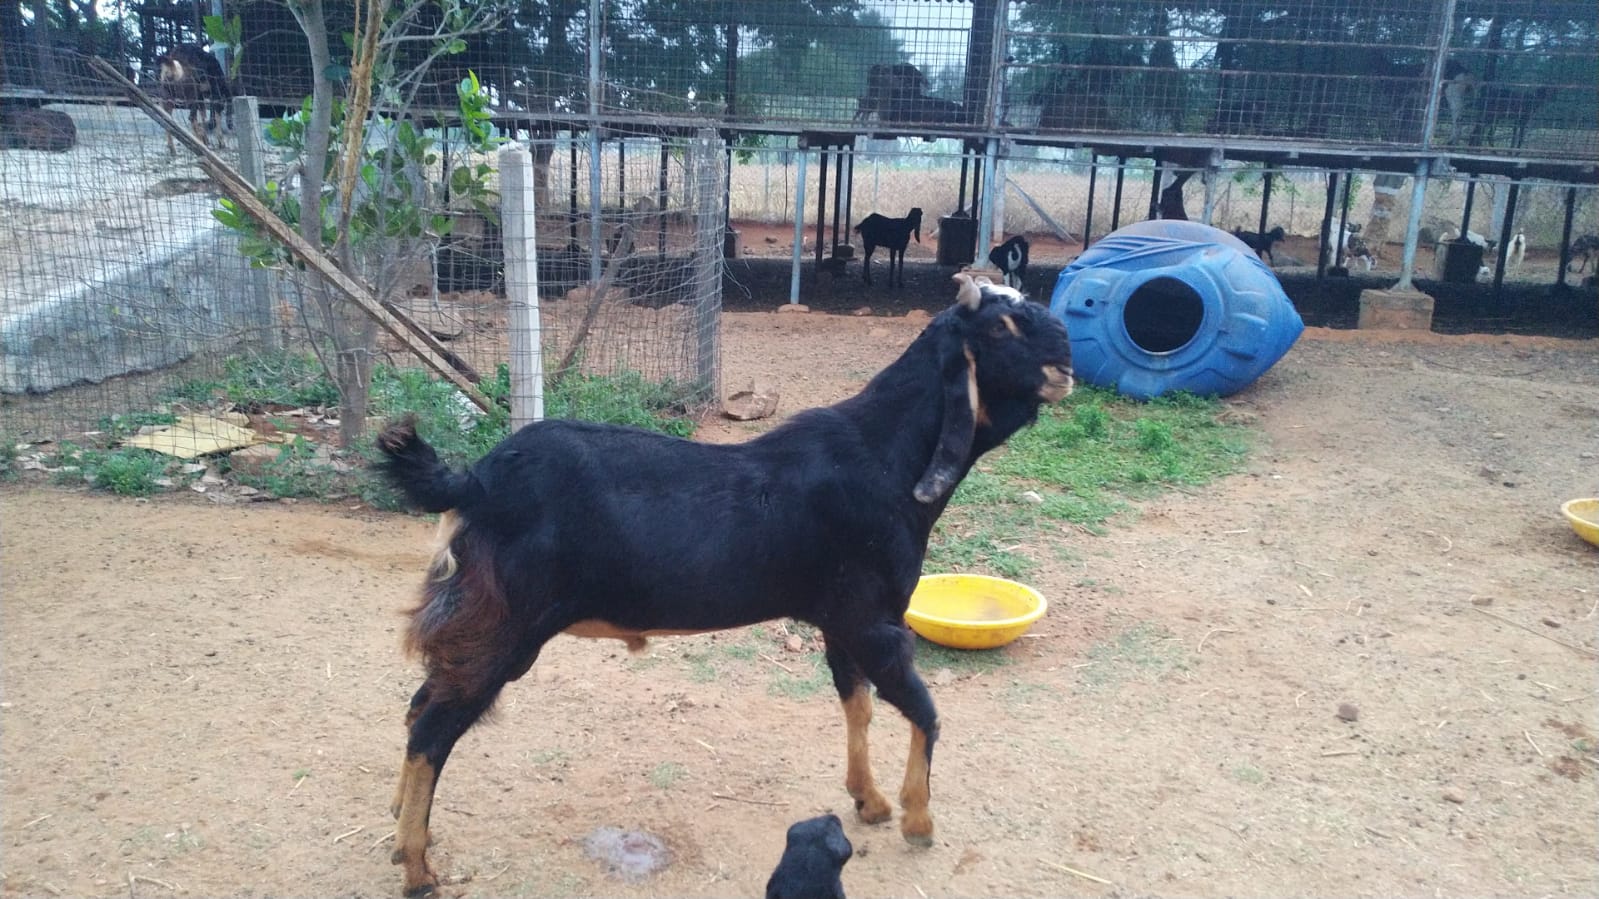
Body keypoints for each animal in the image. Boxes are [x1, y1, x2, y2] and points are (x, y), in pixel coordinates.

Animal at [374, 272, 1074, 898]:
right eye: (1002, 326)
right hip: (504, 626)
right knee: (432, 730)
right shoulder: (875, 622)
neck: (886, 459)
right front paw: (918, 821)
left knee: (418, 705)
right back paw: (417, 870)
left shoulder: (839, 622)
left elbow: (858, 704)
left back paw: (401, 827)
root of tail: (476, 481)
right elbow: (925, 711)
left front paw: (869, 801)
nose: (1068, 357)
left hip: (478, 621)